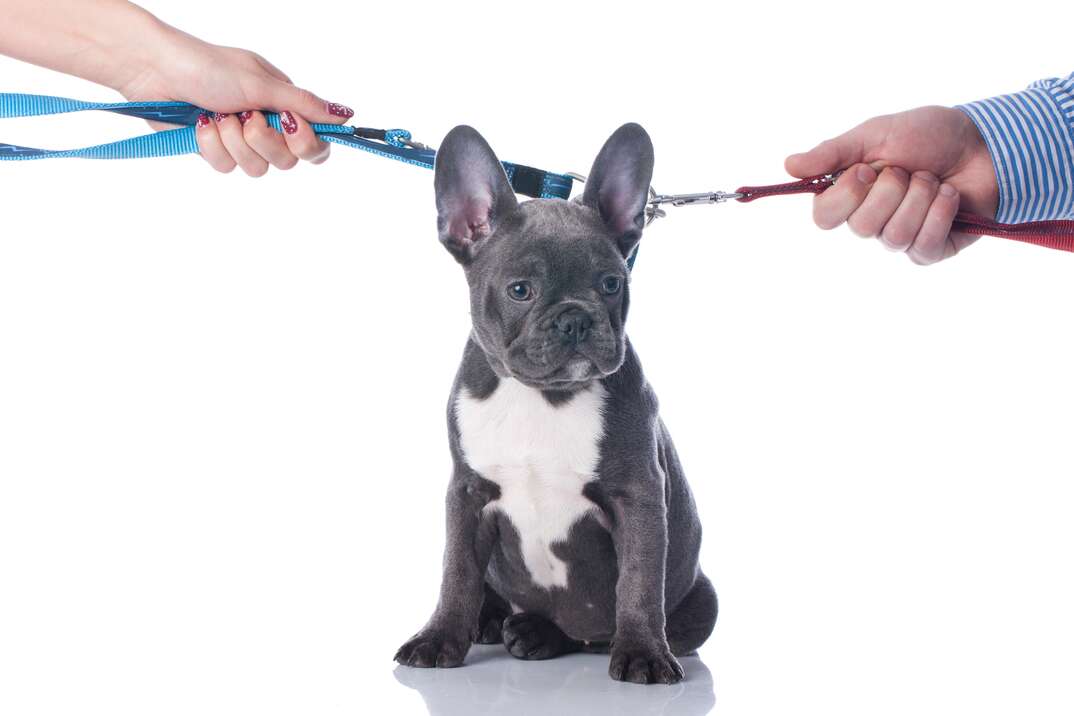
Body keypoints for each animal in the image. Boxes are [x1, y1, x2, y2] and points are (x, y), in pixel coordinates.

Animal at [390, 124, 717, 687]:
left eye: (611, 283)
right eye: (521, 290)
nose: (575, 319)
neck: (542, 396)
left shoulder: (638, 495)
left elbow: (638, 580)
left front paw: (644, 653)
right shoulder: (468, 493)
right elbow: (457, 571)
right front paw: (440, 637)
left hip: (703, 600)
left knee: (592, 633)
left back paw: (541, 633)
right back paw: (494, 621)